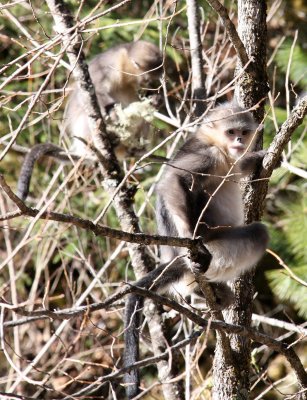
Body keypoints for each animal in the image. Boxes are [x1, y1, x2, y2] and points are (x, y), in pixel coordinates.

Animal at [16, 41, 164, 200]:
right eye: (148, 79)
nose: (150, 85)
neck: (123, 68)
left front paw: (155, 100)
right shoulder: (107, 67)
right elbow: (94, 91)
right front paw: (114, 114)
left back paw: (135, 147)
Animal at [123, 101, 272, 398]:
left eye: (243, 132)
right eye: (230, 132)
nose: (239, 141)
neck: (216, 144)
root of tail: (174, 257)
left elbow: (239, 167)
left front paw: (256, 157)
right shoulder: (209, 155)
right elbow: (173, 181)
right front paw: (192, 238)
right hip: (218, 246)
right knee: (257, 234)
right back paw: (199, 273)